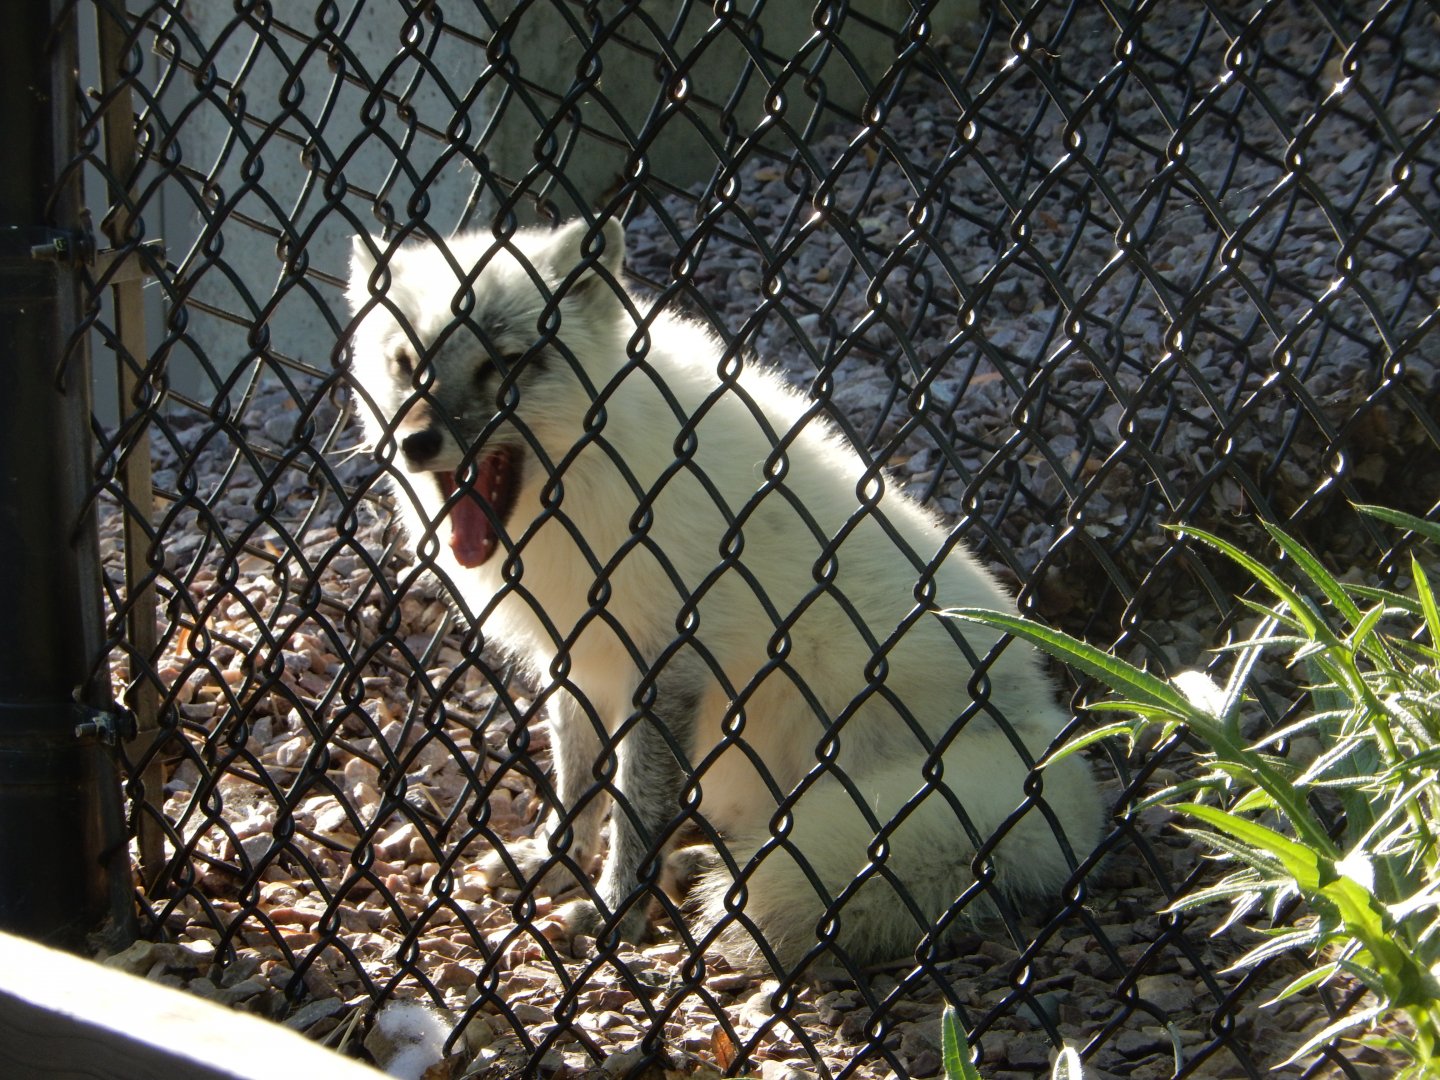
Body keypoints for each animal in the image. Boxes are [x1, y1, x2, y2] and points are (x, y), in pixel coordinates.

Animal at [345, 217, 1104, 971]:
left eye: (506, 363)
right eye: (407, 363)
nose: (415, 442)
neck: (591, 486)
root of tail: (1054, 771)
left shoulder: (665, 665)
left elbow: (637, 809)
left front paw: (616, 907)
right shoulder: (581, 661)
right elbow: (578, 783)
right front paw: (556, 859)